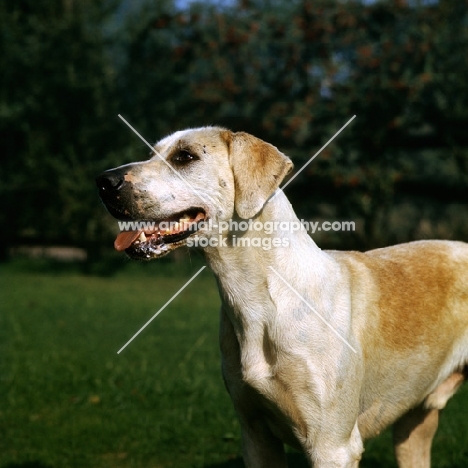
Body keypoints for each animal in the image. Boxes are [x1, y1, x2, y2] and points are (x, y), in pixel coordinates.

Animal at [96, 126, 468, 466]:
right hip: (412, 428)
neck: (257, 302)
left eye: (184, 157)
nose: (103, 181)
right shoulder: (255, 437)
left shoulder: (333, 447)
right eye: (151, 152)